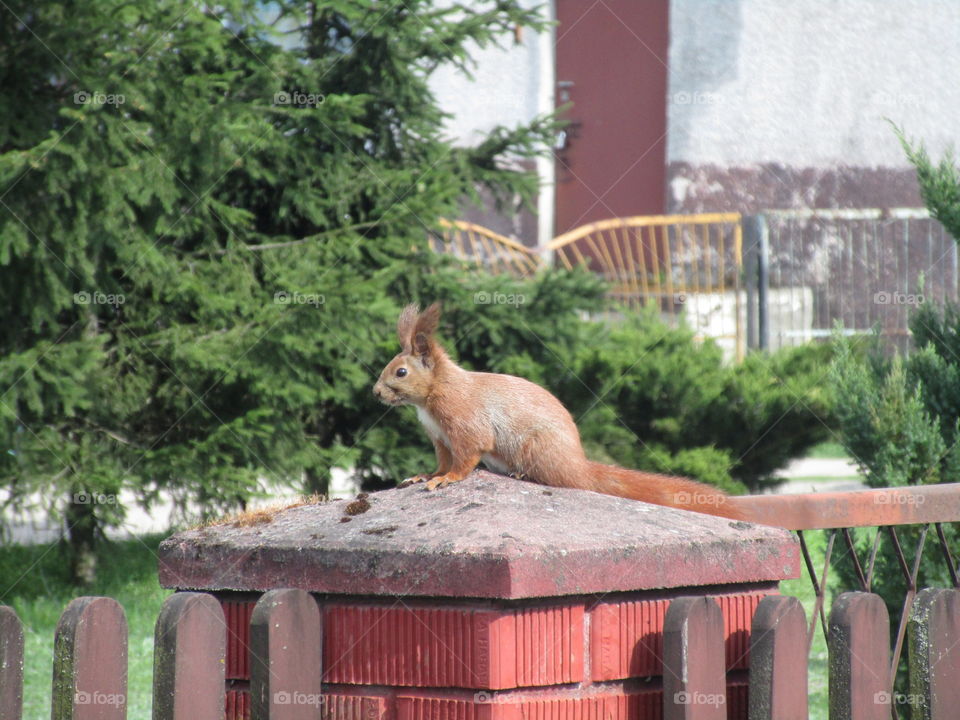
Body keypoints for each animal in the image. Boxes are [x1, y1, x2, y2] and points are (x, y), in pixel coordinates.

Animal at [373, 303, 744, 521]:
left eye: (401, 372)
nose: (376, 392)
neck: (431, 397)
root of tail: (579, 467)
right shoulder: (440, 438)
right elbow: (442, 460)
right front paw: (426, 475)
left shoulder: (464, 423)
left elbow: (466, 457)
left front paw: (446, 480)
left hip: (536, 448)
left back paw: (524, 475)